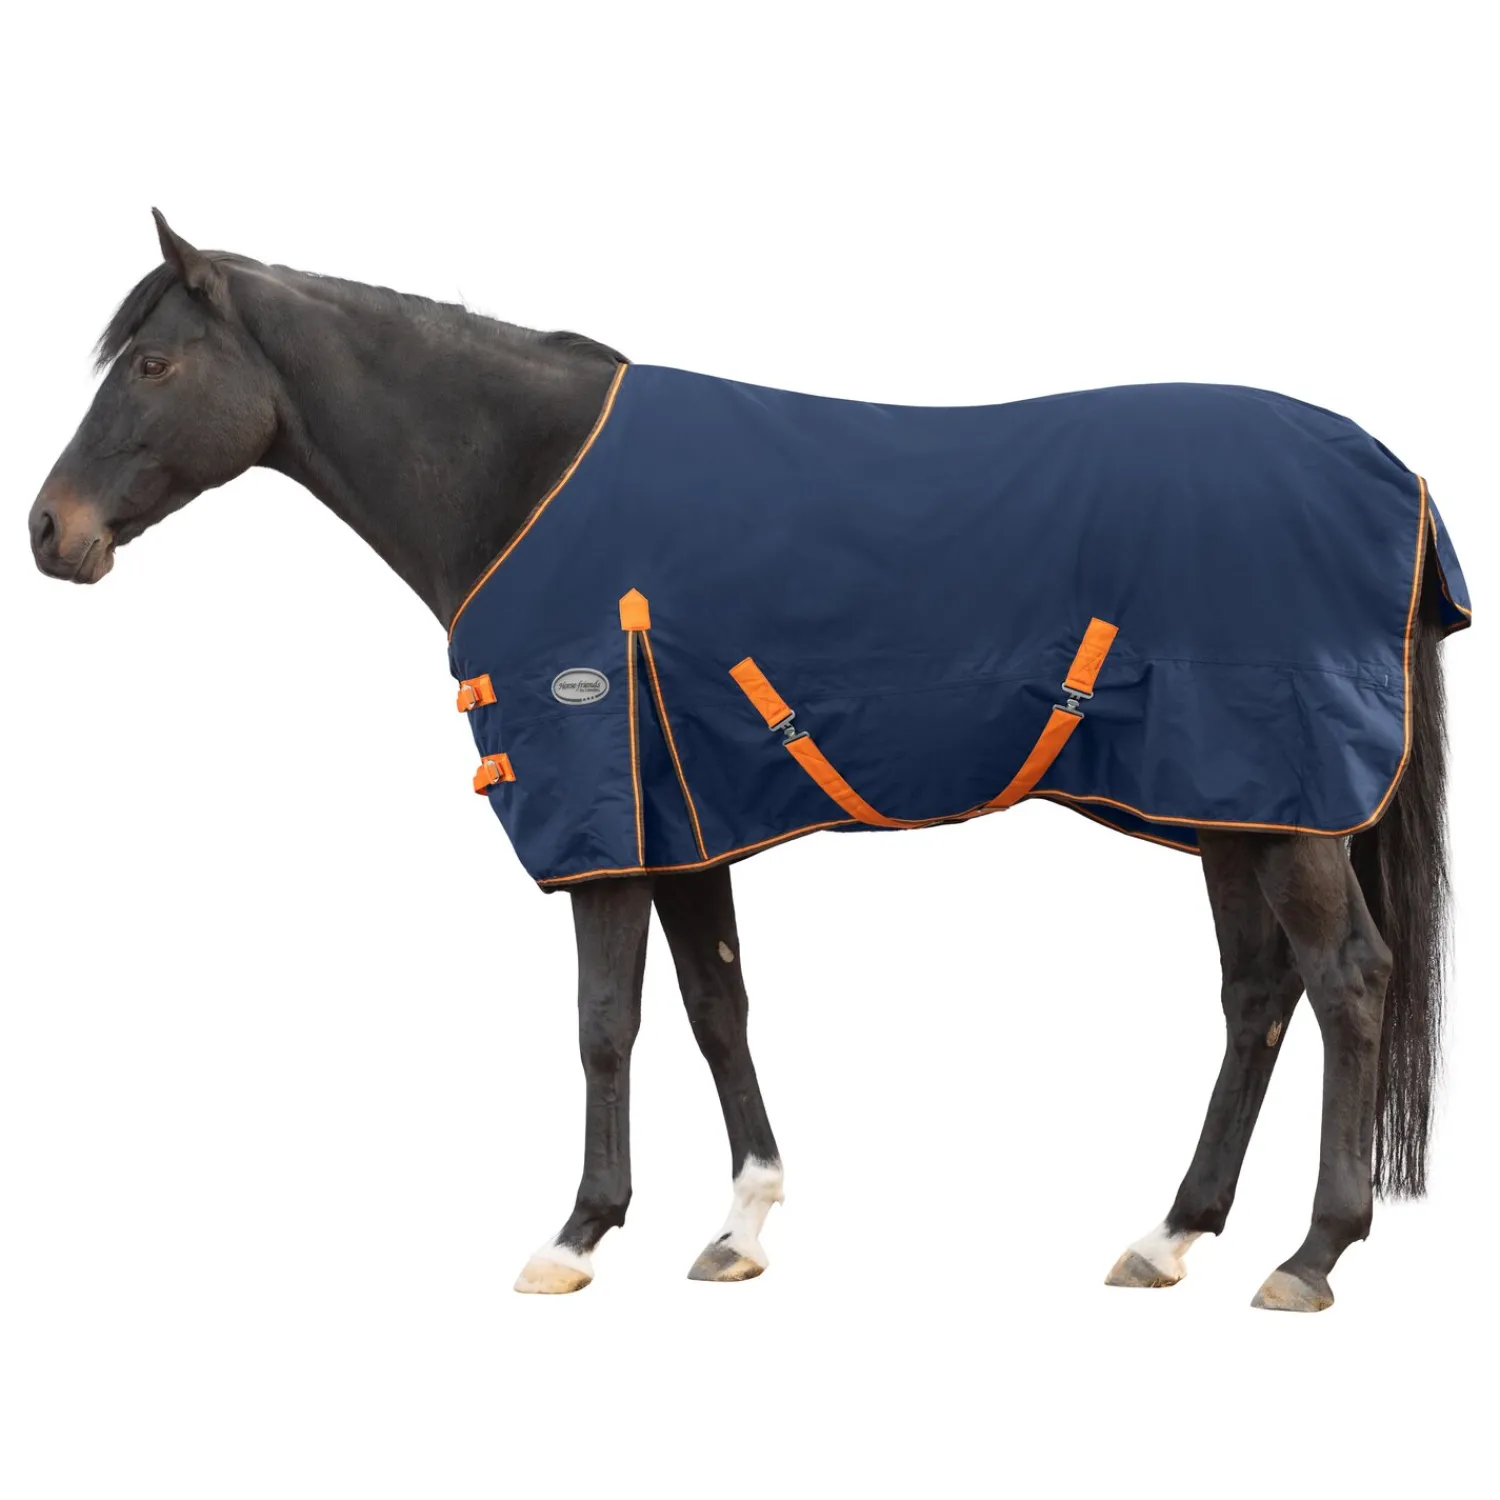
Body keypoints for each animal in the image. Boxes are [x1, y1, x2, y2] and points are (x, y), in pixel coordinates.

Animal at [29, 211, 1464, 1311]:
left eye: (151, 361)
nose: (51, 531)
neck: (526, 480)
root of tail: (1391, 480)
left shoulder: (603, 814)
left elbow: (605, 1024)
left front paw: (577, 1235)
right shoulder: (688, 814)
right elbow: (717, 1004)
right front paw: (742, 1226)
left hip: (1288, 811)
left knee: (1347, 983)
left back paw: (1311, 1255)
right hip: (1229, 806)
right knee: (1257, 997)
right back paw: (1169, 1237)